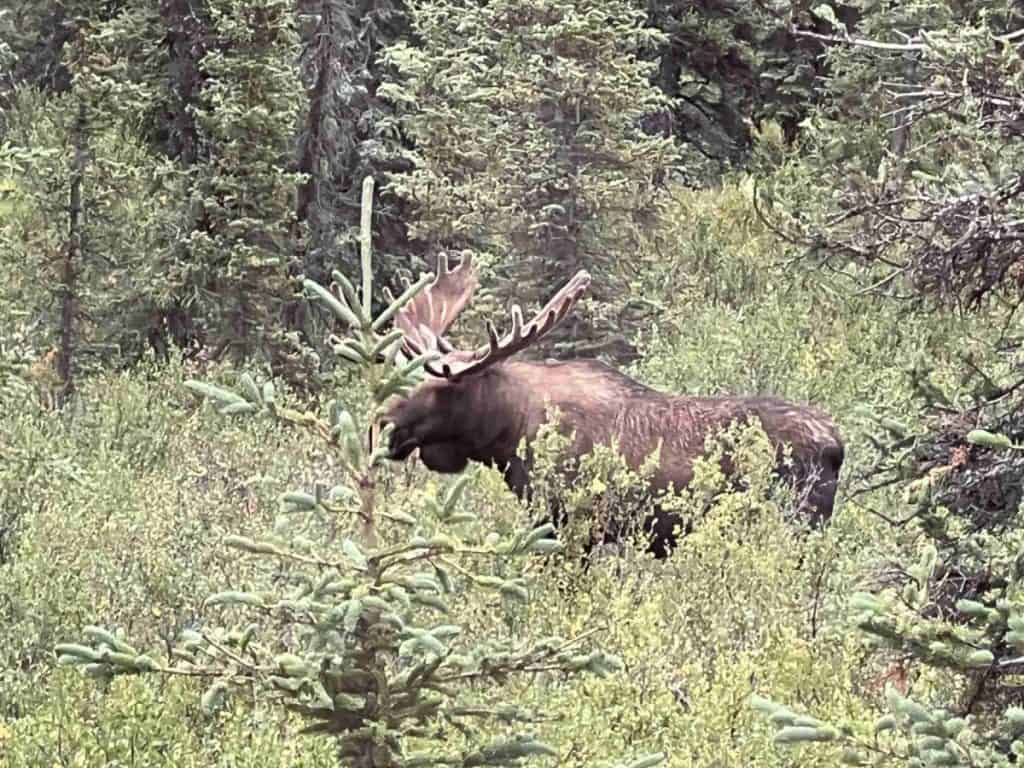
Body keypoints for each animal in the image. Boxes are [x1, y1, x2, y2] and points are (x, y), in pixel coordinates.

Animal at [380, 253, 845, 559]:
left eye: (444, 386)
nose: (386, 424)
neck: (507, 436)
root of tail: (836, 445)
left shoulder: (569, 523)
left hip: (796, 522)